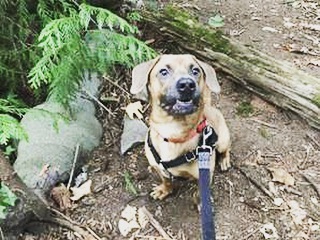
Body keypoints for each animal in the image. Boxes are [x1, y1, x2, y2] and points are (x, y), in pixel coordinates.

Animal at [131, 54, 231, 201]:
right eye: (163, 71)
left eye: (195, 71)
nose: (187, 84)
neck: (173, 132)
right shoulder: (160, 169)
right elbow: (166, 180)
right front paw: (165, 190)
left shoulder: (204, 175)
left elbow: (200, 192)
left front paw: (200, 202)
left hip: (223, 140)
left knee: (226, 149)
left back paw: (224, 160)